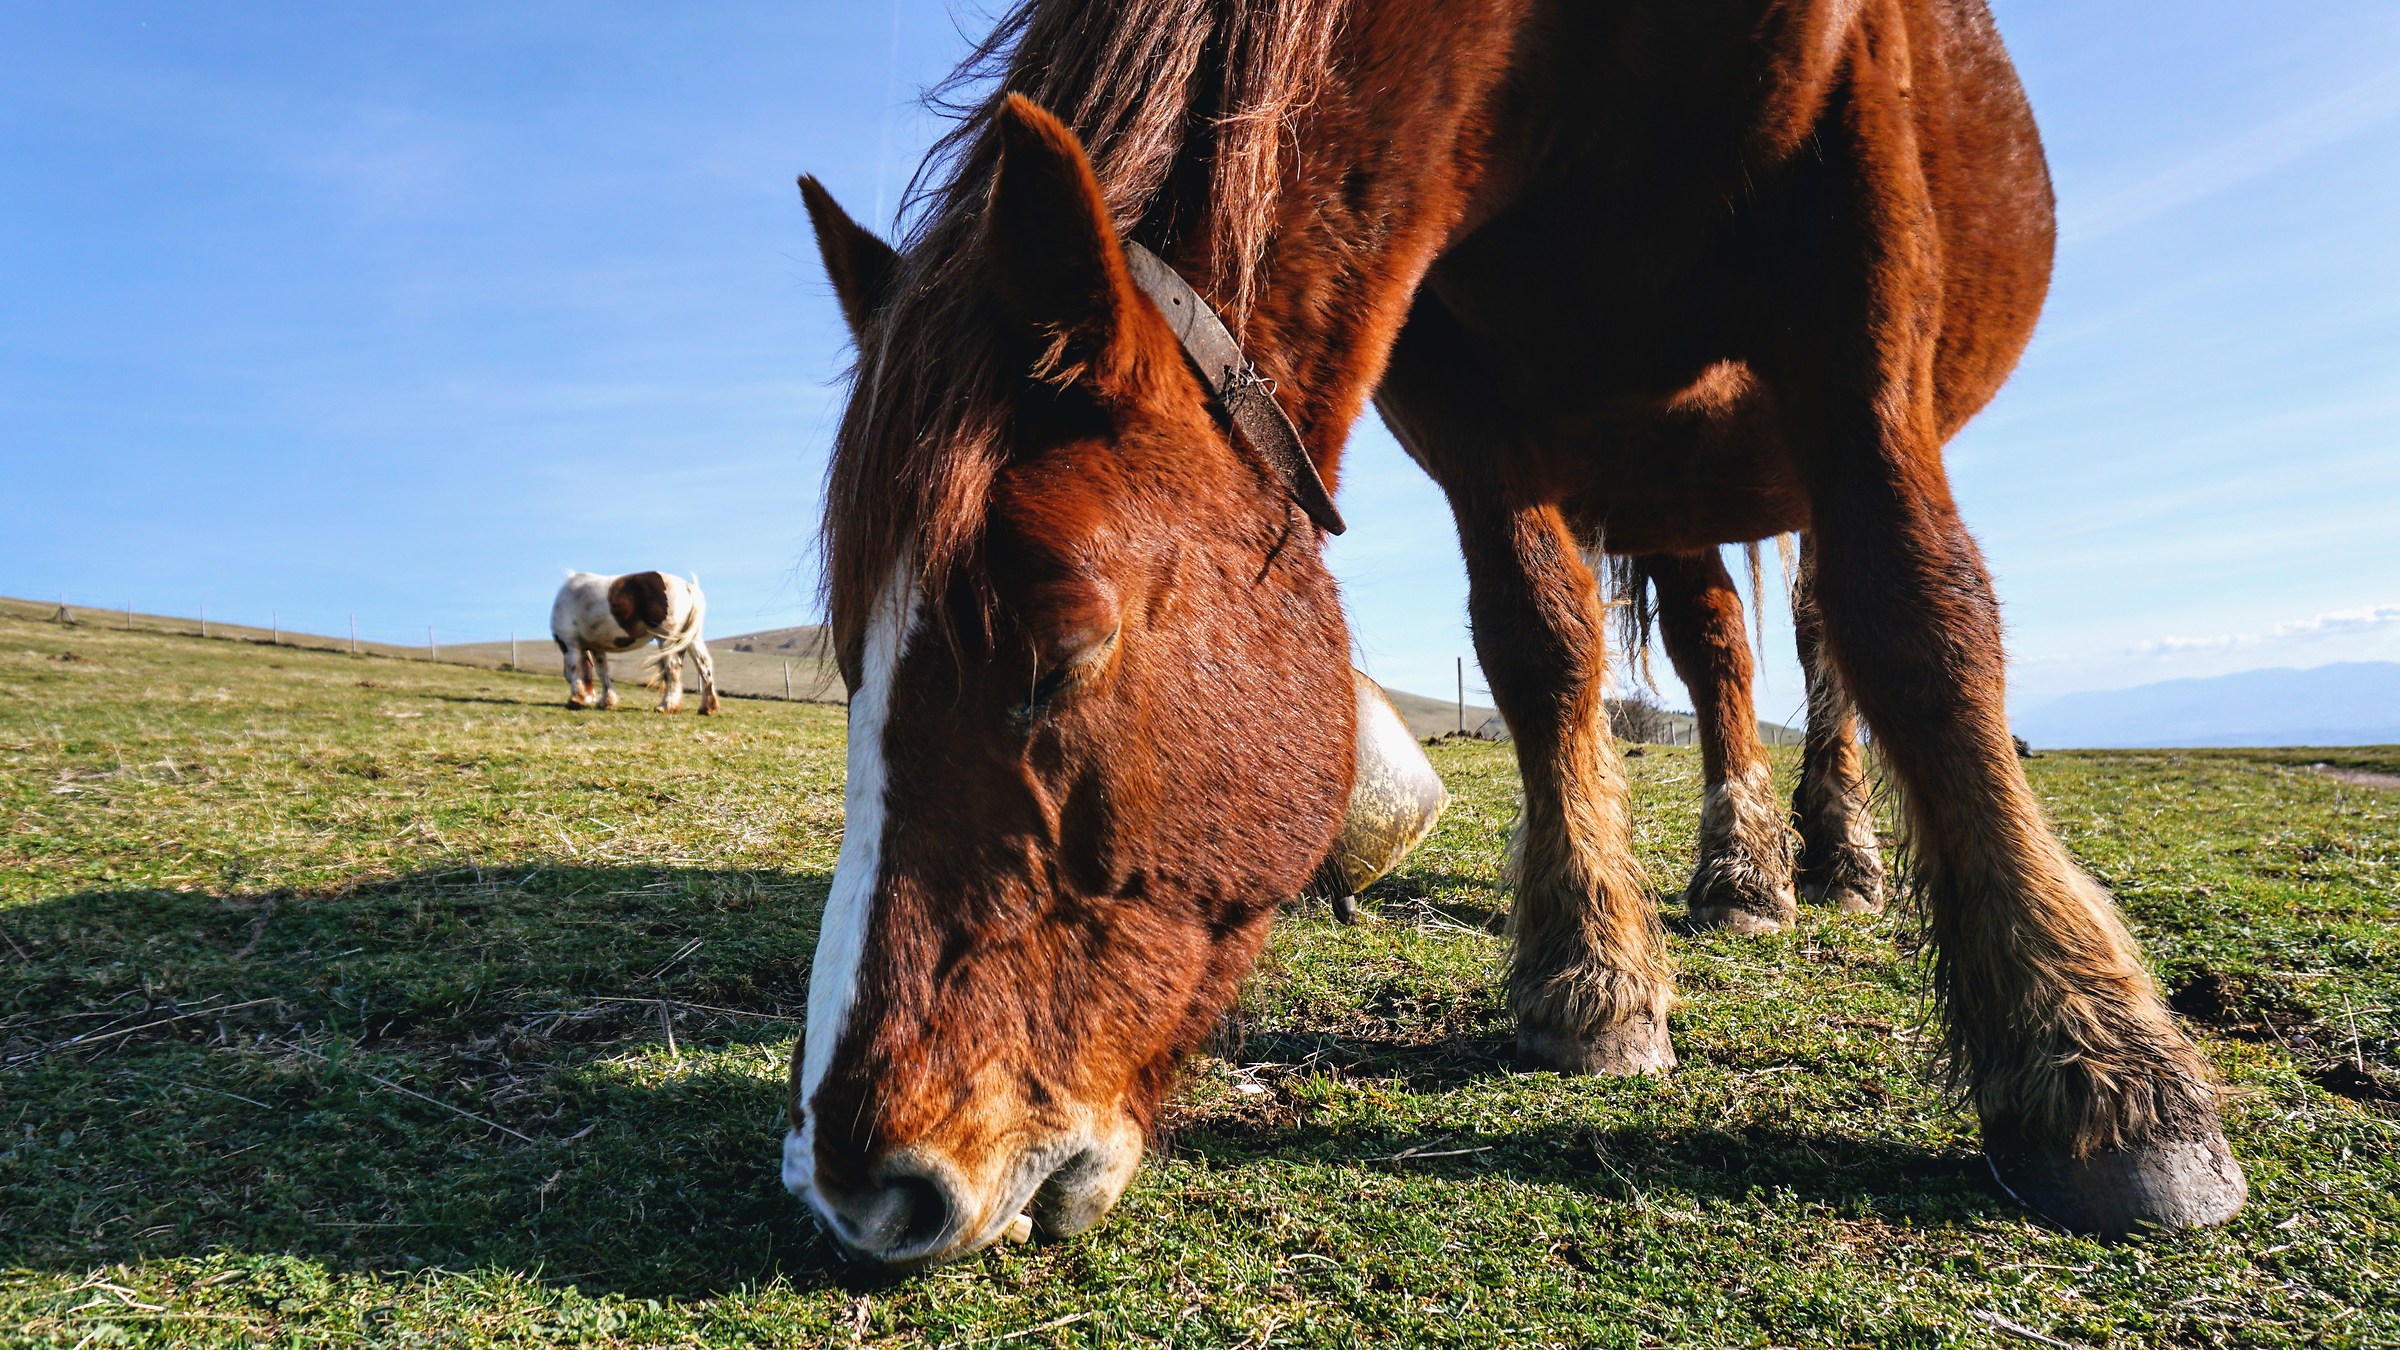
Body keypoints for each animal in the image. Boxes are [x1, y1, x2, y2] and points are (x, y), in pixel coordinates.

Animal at [548, 570, 720, 714]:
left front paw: (575, 699)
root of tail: (688, 586)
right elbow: (603, 672)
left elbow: (574, 669)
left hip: (667, 640)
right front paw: (606, 701)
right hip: (692, 640)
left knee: (672, 670)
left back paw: (666, 706)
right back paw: (707, 707)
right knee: (704, 667)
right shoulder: (597, 648)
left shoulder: (570, 645)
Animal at [786, 0, 2246, 1266]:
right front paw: (1592, 977)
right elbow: (1537, 646)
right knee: (1717, 640)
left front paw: (2104, 1073)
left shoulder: (1854, 255)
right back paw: (1740, 872)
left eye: (1055, 648)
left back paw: (1836, 854)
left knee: (1825, 633)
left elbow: (1920, 616)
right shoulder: (1462, 373)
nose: (863, 1184)